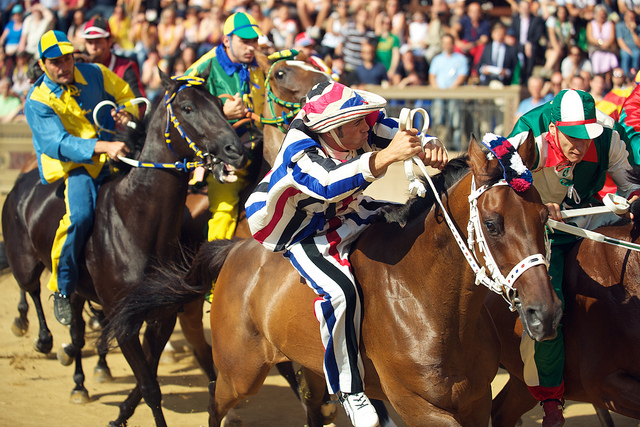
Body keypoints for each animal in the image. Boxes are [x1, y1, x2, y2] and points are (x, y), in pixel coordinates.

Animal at [0, 71, 246, 427]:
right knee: (31, 289)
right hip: (25, 260)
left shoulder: (161, 316)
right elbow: (149, 387)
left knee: (76, 330)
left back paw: (79, 381)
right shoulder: (123, 317)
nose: (236, 149)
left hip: (80, 289)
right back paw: (42, 336)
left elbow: (148, 377)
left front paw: (120, 414)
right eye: (187, 107)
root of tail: (22, 182)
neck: (135, 223)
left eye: (218, 102)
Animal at [106, 133, 564, 424]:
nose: (545, 314)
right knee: (216, 403)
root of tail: (234, 251)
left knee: (314, 409)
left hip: (307, 366)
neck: (429, 304)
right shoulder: (418, 406)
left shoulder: (474, 400)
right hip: (241, 371)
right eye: (492, 223)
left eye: (544, 217)